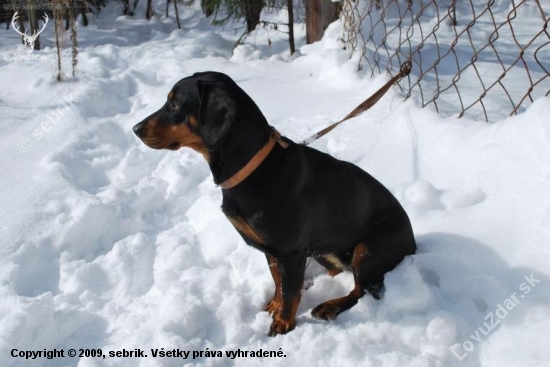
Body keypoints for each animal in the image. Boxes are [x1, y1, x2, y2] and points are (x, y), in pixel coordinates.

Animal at [134, 71, 418, 336]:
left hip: (369, 247)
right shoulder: (273, 251)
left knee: (360, 290)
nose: (136, 129)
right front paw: (274, 306)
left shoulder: (291, 251)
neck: (251, 168)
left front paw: (283, 323)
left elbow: (290, 291)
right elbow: (279, 282)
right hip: (324, 249)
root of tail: (413, 243)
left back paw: (329, 306)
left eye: (174, 104)